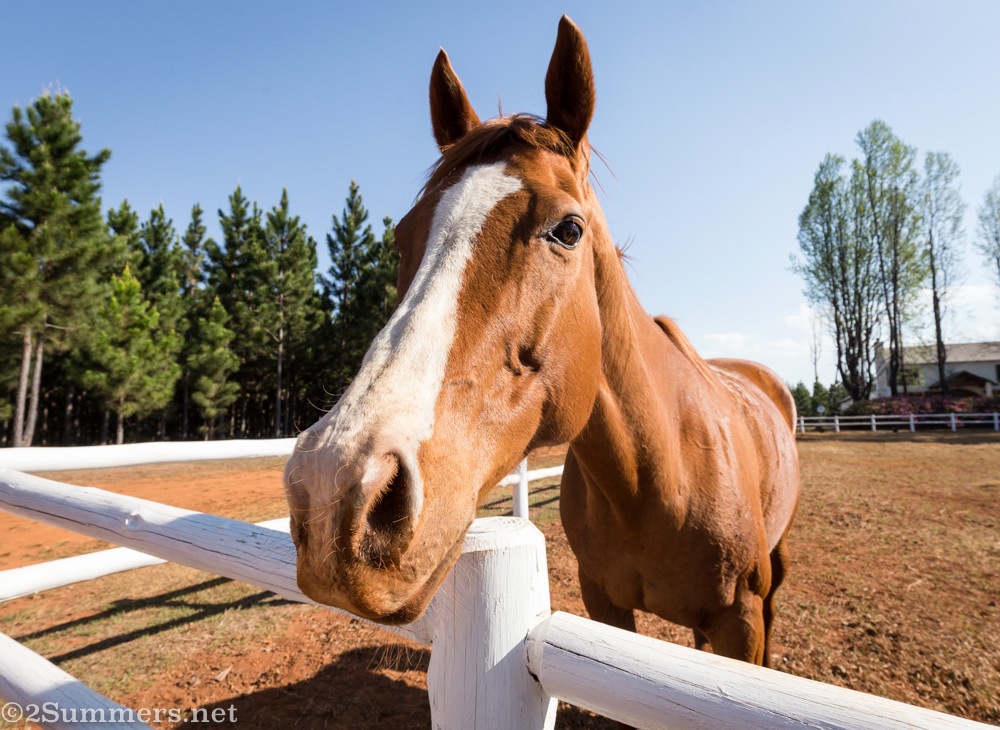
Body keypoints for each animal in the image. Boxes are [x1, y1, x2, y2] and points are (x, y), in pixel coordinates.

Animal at [284, 15, 800, 667]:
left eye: (568, 229)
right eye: (402, 234)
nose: (333, 491)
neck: (659, 478)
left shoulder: (741, 621)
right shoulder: (604, 603)